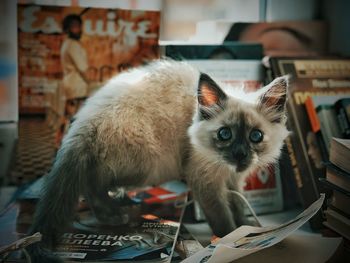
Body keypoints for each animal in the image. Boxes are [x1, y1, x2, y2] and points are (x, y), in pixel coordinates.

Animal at [28, 59, 290, 262]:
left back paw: (119, 205)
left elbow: (237, 207)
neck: (225, 168)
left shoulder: (234, 180)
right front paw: (231, 239)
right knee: (91, 184)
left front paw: (249, 229)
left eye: (256, 136)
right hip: (149, 165)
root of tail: (83, 121)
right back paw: (113, 215)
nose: (240, 155)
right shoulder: (204, 181)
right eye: (225, 134)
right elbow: (222, 217)